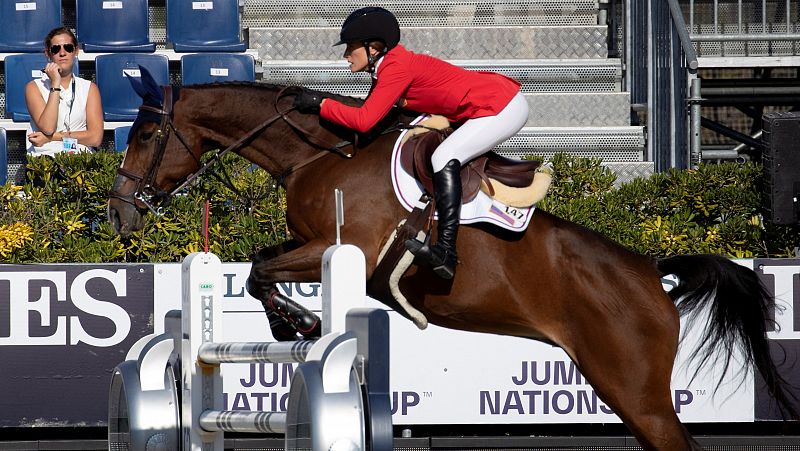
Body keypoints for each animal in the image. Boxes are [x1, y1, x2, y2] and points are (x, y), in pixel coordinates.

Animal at [108, 72, 800, 450]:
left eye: (144, 134)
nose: (119, 215)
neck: (318, 155)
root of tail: (651, 275)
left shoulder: (346, 251)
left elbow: (260, 269)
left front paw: (299, 325)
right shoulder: (309, 246)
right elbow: (258, 265)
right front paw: (293, 322)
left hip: (637, 392)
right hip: (621, 389)